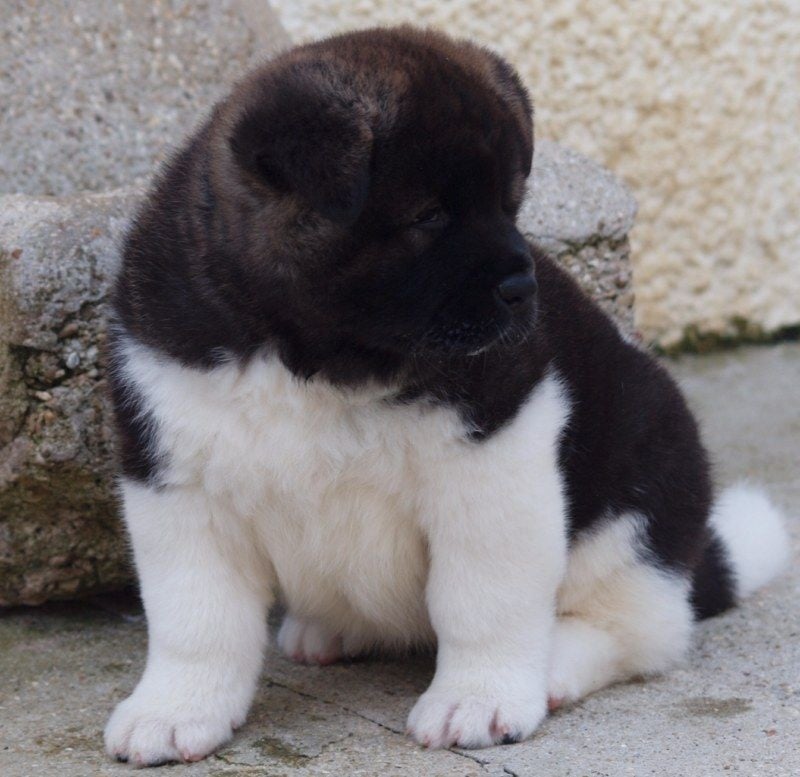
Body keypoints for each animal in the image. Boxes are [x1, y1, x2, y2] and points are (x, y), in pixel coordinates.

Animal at [104, 26, 789, 766]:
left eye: (510, 205)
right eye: (429, 216)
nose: (523, 289)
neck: (319, 356)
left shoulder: (493, 460)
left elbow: (480, 600)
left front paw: (478, 700)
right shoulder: (179, 478)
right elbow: (195, 618)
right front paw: (174, 709)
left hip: (640, 495)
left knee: (643, 625)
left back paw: (554, 664)